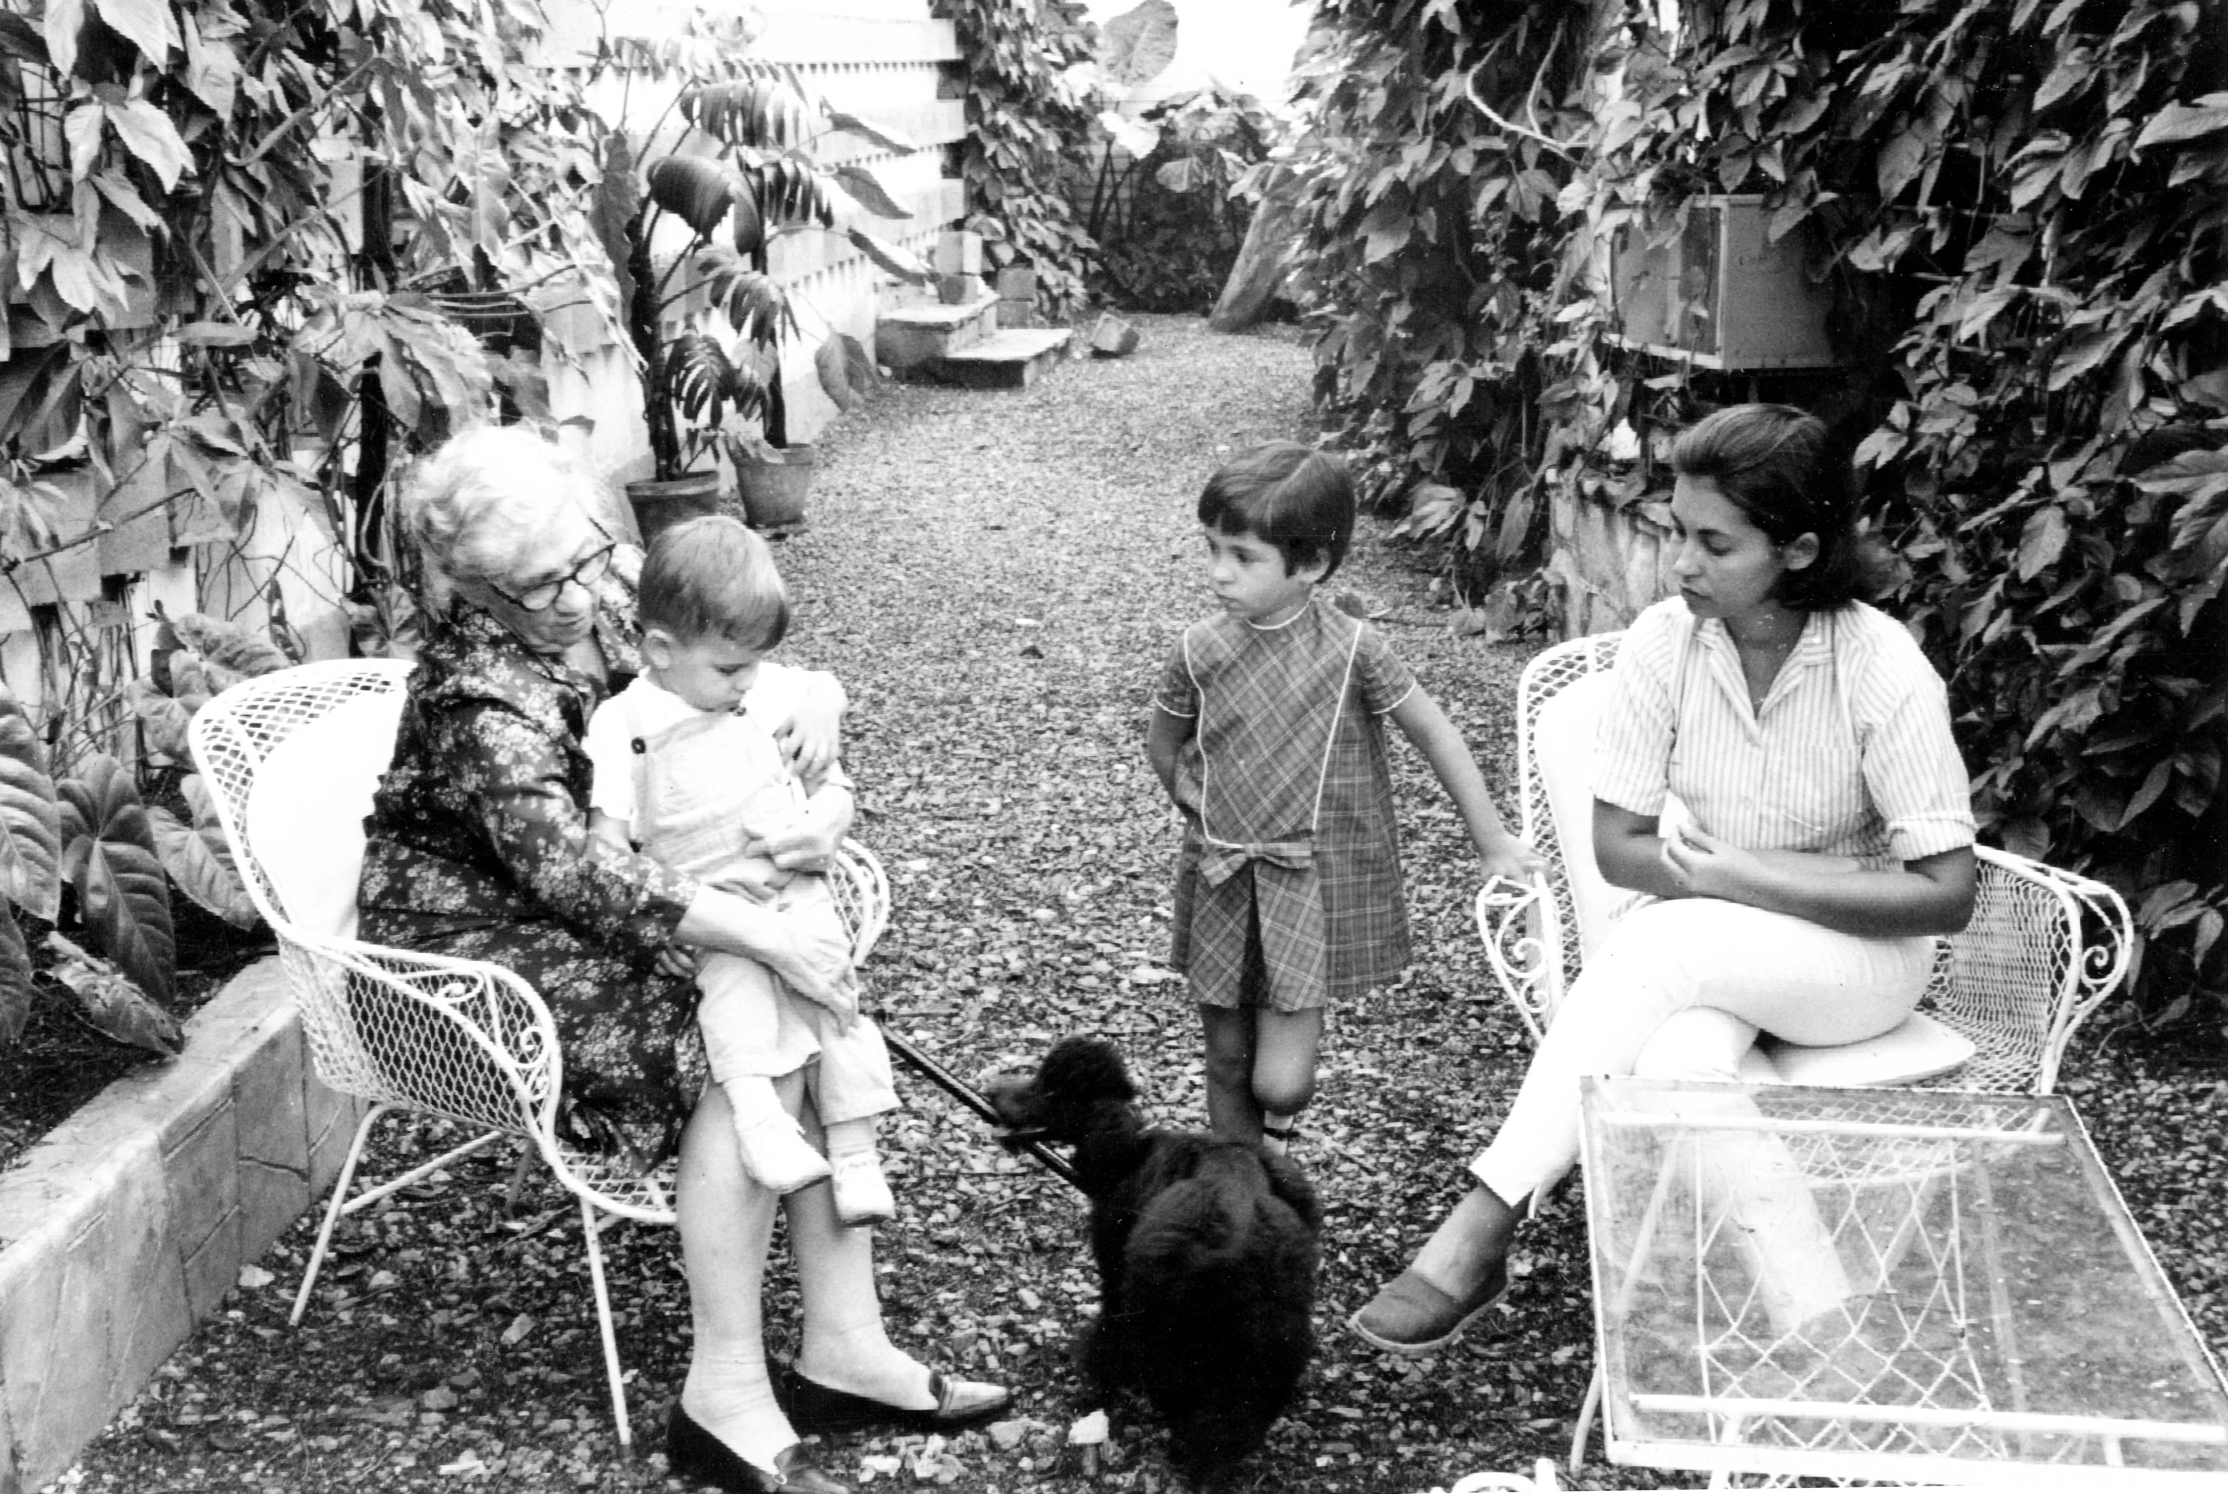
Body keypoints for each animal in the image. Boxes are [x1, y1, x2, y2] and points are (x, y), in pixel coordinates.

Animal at [983, 1035, 1321, 1483]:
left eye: (1050, 1089)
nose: (991, 1090)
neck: (1129, 1149)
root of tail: (1243, 1232)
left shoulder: (1115, 1267)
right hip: (1273, 1334)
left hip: (1166, 1320)